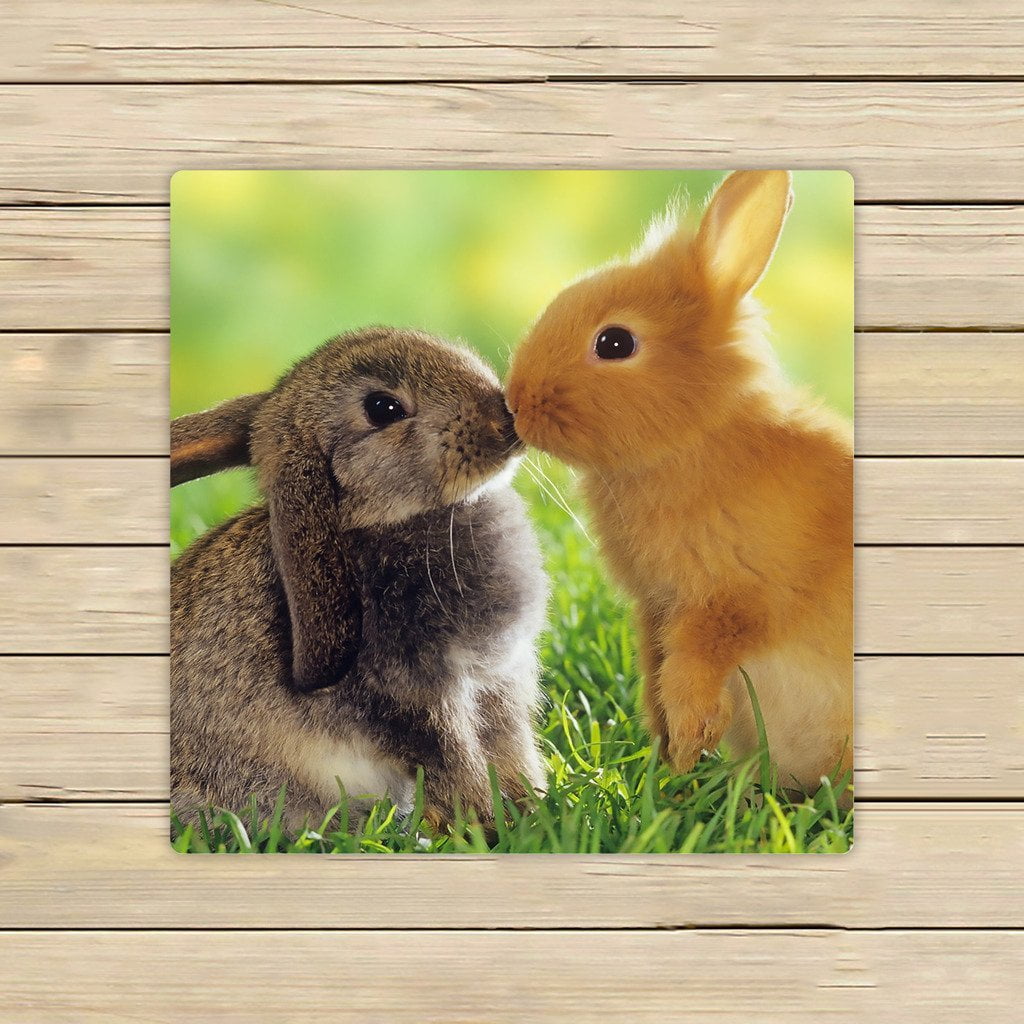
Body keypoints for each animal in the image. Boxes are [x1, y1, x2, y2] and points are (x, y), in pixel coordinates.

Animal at [171, 326, 549, 831]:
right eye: (383, 408)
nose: (503, 418)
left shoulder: (500, 682)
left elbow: (511, 752)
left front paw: (534, 809)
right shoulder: (415, 695)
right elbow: (455, 761)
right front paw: (487, 824)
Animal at [506, 171, 853, 801]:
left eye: (615, 343)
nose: (515, 402)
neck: (694, 440)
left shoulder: (735, 600)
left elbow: (696, 662)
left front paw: (691, 741)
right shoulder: (655, 608)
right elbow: (657, 667)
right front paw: (670, 754)